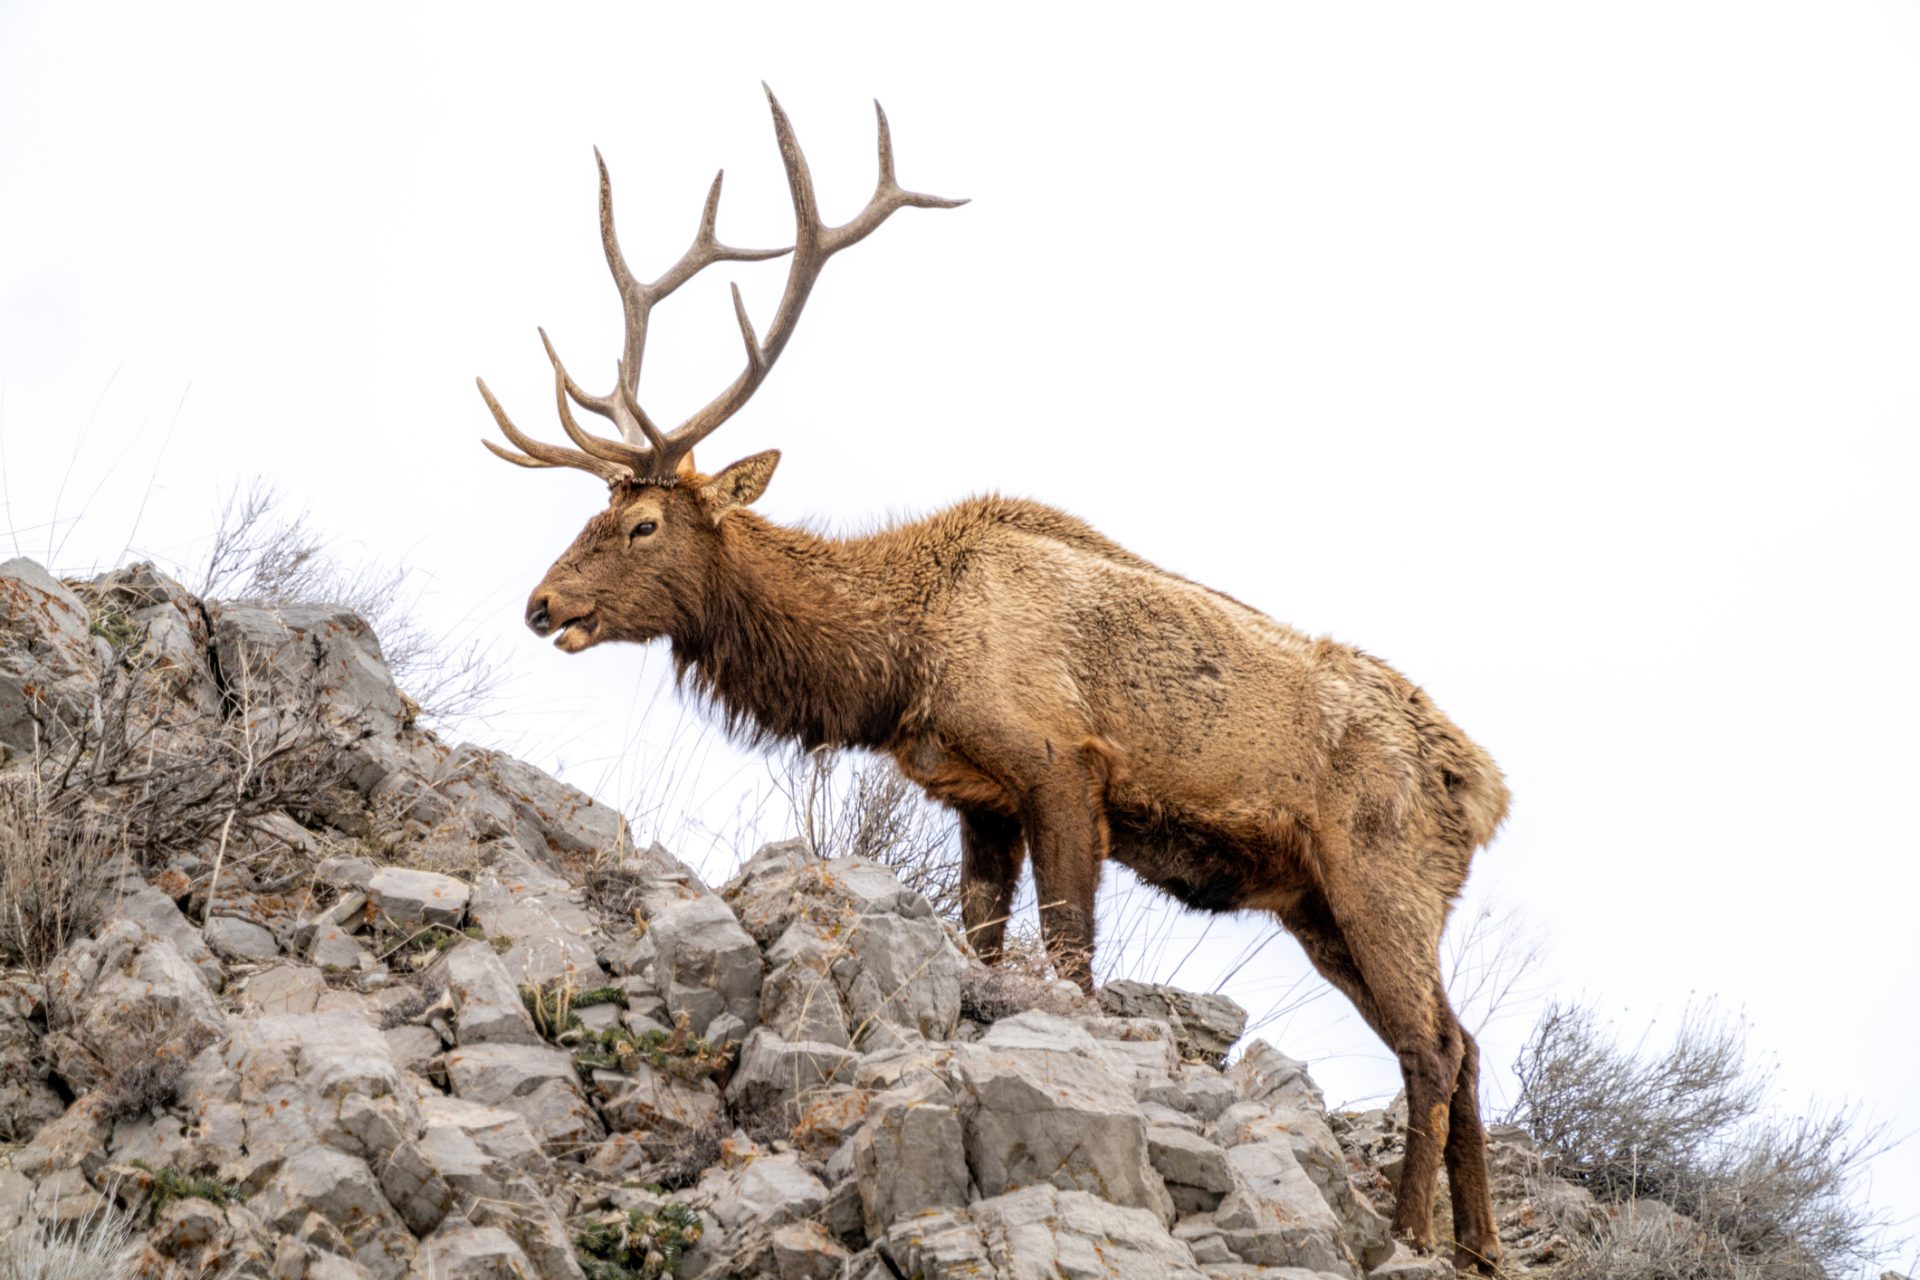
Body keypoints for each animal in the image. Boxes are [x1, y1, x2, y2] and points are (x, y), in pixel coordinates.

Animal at [480, 90, 1512, 1274]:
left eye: (643, 523)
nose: (540, 603)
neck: (899, 663)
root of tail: (1486, 790)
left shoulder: (1064, 762)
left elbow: (1068, 958)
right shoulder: (980, 799)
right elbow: (984, 943)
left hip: (1379, 875)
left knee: (1432, 1047)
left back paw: (1409, 1235)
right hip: (1318, 903)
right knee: (1466, 1038)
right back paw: (1483, 1244)